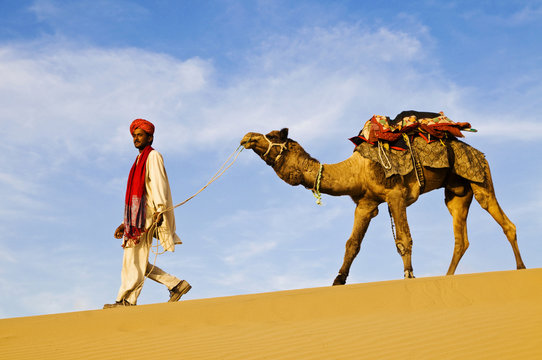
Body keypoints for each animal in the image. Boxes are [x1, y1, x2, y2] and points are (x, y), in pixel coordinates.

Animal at [241, 127, 528, 284]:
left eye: (270, 136)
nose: (247, 137)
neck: (357, 170)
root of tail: (480, 154)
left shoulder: (396, 195)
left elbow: (404, 240)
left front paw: (409, 276)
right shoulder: (366, 204)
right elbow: (352, 245)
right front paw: (337, 281)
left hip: (480, 178)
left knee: (506, 222)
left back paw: (521, 269)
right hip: (456, 193)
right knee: (461, 238)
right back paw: (447, 277)